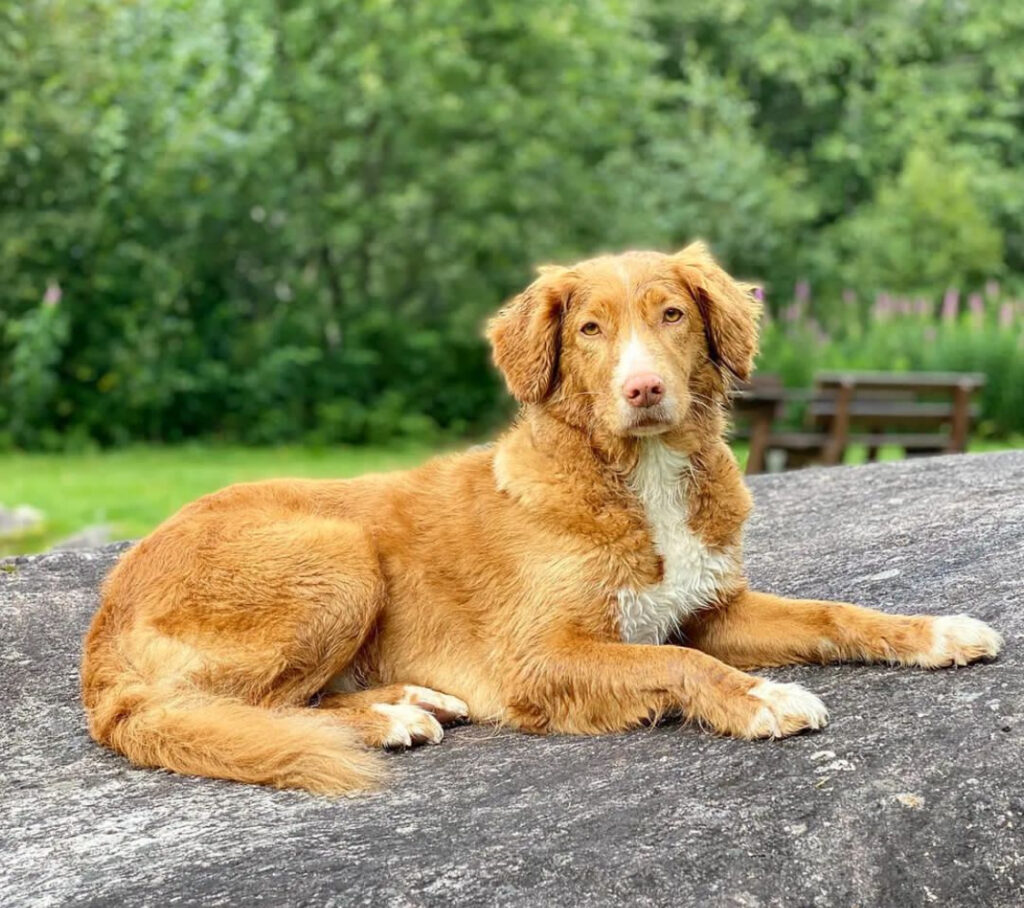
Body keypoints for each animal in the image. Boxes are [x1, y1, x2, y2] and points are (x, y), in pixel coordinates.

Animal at [77, 244, 999, 790]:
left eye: (672, 314)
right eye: (590, 329)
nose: (643, 389)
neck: (637, 479)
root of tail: (107, 611)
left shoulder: (713, 607)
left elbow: (834, 612)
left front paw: (936, 632)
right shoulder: (544, 655)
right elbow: (680, 663)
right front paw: (760, 699)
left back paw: (413, 695)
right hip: (337, 554)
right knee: (241, 706)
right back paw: (390, 715)